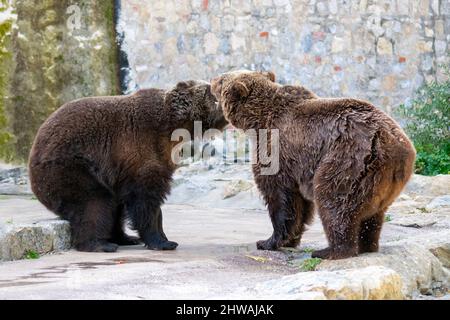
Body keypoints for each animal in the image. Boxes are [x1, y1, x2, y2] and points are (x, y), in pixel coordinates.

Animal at [28, 80, 227, 252]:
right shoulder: (142, 147)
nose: (217, 87)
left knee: (114, 206)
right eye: (210, 90)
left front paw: (163, 237)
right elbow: (146, 199)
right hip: (68, 167)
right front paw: (162, 242)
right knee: (95, 201)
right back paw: (99, 244)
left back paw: (124, 238)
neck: (172, 126)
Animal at [213, 70, 416, 260]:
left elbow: (279, 196)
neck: (258, 121)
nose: (212, 80)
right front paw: (291, 240)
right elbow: (300, 206)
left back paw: (329, 251)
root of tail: (395, 144)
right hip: (382, 181)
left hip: (348, 160)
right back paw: (367, 245)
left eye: (222, 79)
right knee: (372, 216)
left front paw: (267, 241)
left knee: (334, 200)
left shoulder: (278, 151)